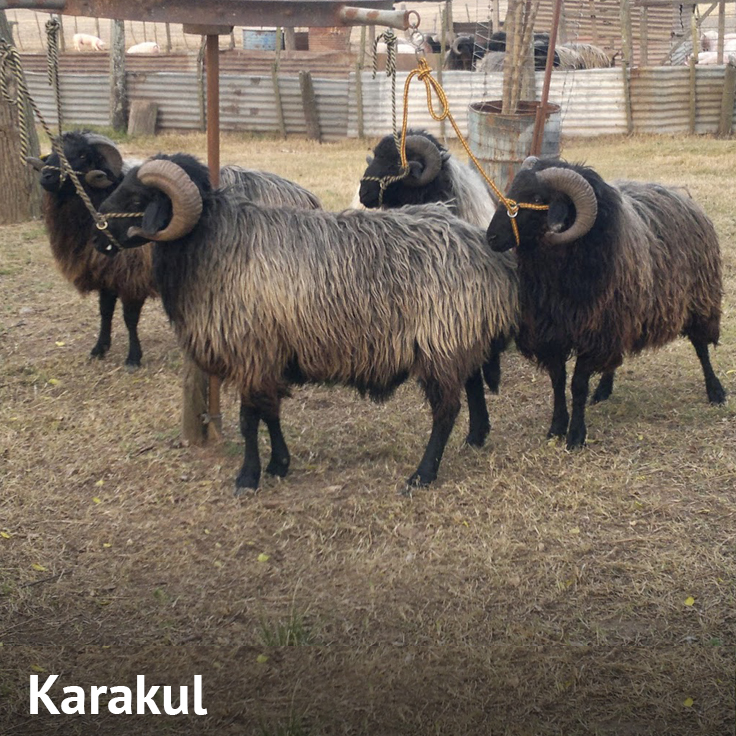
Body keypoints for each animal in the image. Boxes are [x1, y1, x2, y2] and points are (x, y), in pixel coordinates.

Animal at [29, 131, 321, 368]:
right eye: (54, 150)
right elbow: (105, 311)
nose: (46, 176)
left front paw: (133, 358)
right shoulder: (106, 272)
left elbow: (129, 318)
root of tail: (306, 196)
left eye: (82, 155)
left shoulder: (132, 277)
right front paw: (99, 349)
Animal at [96, 153, 518, 492]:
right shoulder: (270, 355)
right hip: (458, 337)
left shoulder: (252, 352)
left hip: (441, 341)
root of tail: (485, 251)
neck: (215, 244)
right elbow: (270, 412)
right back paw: (475, 437)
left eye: (138, 199)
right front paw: (279, 464)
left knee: (445, 412)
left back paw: (422, 475)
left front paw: (248, 478)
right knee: (471, 385)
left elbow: (249, 420)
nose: (99, 231)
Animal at [485, 156, 726, 449]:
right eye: (512, 189)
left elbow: (577, 384)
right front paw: (557, 426)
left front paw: (576, 435)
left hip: (697, 300)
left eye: (538, 197)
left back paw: (715, 391)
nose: (491, 237)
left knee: (701, 347)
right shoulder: (553, 331)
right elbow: (558, 381)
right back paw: (603, 389)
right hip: (624, 317)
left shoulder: (594, 331)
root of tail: (681, 196)